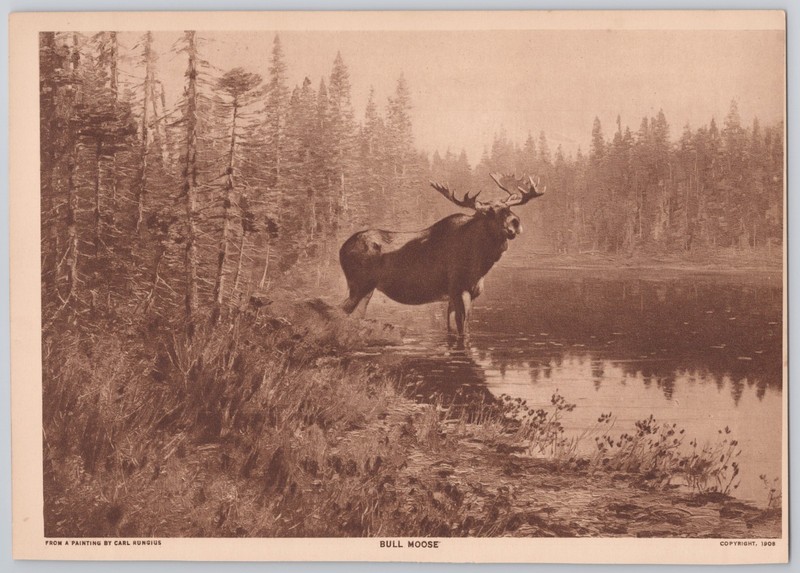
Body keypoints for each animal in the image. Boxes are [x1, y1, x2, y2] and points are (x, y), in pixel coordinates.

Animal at [339, 173, 545, 336]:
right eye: (489, 213)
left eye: (509, 208)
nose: (515, 223)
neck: (480, 262)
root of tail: (341, 249)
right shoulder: (460, 290)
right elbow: (464, 331)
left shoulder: (459, 295)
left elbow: (452, 329)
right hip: (359, 285)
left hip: (367, 290)